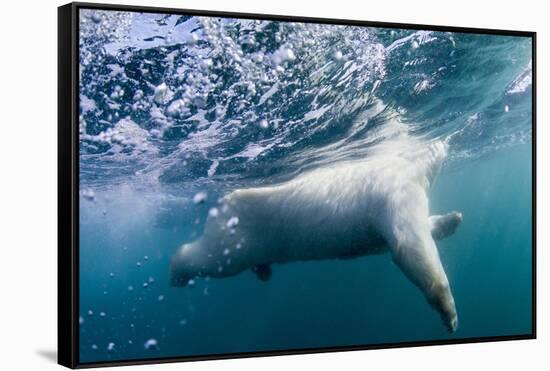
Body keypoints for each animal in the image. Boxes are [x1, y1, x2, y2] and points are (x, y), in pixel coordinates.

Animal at [170, 140, 464, 334]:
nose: (447, 140)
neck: (410, 164)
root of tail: (220, 207)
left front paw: (452, 220)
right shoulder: (399, 191)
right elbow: (410, 246)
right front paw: (449, 314)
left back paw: (263, 271)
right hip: (238, 236)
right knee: (208, 259)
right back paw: (177, 272)